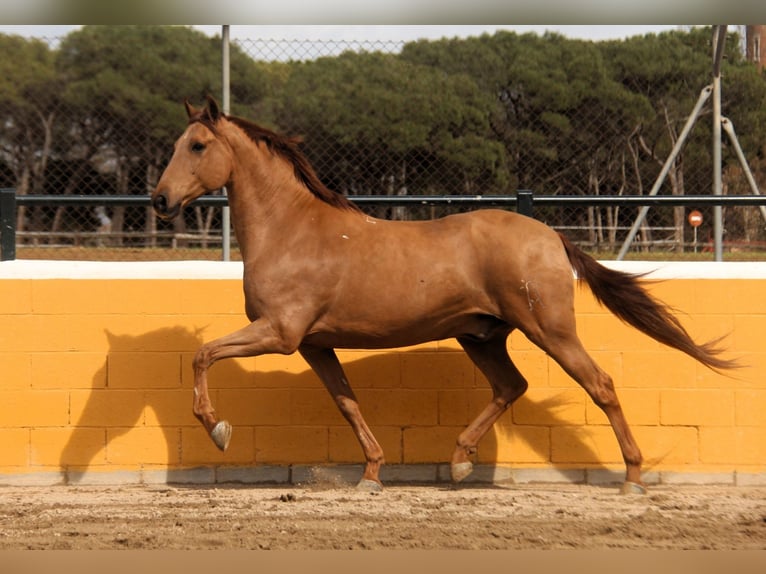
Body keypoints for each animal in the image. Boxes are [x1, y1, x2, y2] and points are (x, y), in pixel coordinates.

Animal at [151, 96, 735, 495]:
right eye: (176, 144)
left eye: (197, 145)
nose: (160, 201)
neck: (293, 229)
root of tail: (550, 236)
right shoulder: (316, 345)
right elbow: (346, 403)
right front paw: (371, 474)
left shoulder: (279, 333)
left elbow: (202, 355)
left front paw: (218, 429)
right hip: (481, 337)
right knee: (511, 386)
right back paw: (460, 461)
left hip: (549, 330)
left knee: (601, 385)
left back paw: (632, 477)